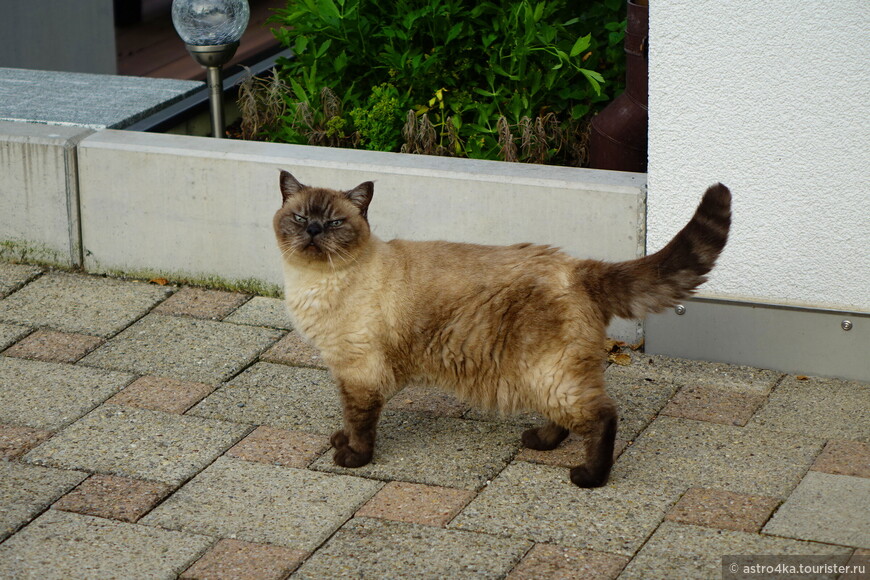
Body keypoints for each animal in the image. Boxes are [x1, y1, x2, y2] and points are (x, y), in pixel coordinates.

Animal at [276, 170, 732, 488]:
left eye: (334, 223)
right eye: (299, 217)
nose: (312, 231)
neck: (314, 282)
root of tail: (579, 267)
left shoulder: (359, 373)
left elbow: (360, 422)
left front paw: (352, 458)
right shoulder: (346, 372)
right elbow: (350, 418)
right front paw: (341, 442)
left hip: (548, 374)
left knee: (602, 416)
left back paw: (588, 478)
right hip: (544, 374)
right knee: (565, 416)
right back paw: (541, 441)